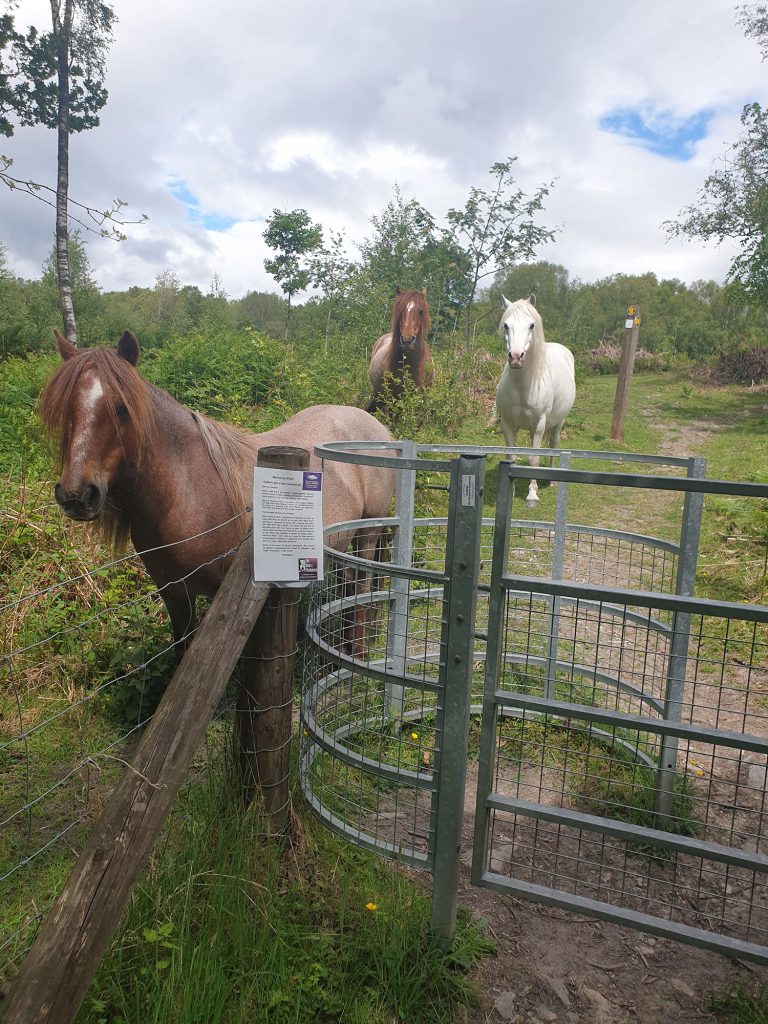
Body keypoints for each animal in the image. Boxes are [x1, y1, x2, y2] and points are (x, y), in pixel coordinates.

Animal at [39, 330, 396, 655]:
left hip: (368, 534)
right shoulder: (175, 594)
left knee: (362, 591)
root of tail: (377, 427)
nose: (76, 495)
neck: (184, 491)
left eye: (122, 408)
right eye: (66, 408)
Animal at [495, 294, 576, 508]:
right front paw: (512, 490)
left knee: (553, 444)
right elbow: (512, 457)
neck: (522, 385)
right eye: (506, 325)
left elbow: (533, 460)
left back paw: (551, 480)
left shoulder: (539, 424)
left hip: (557, 423)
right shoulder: (507, 424)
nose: (516, 357)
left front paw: (532, 496)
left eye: (531, 325)